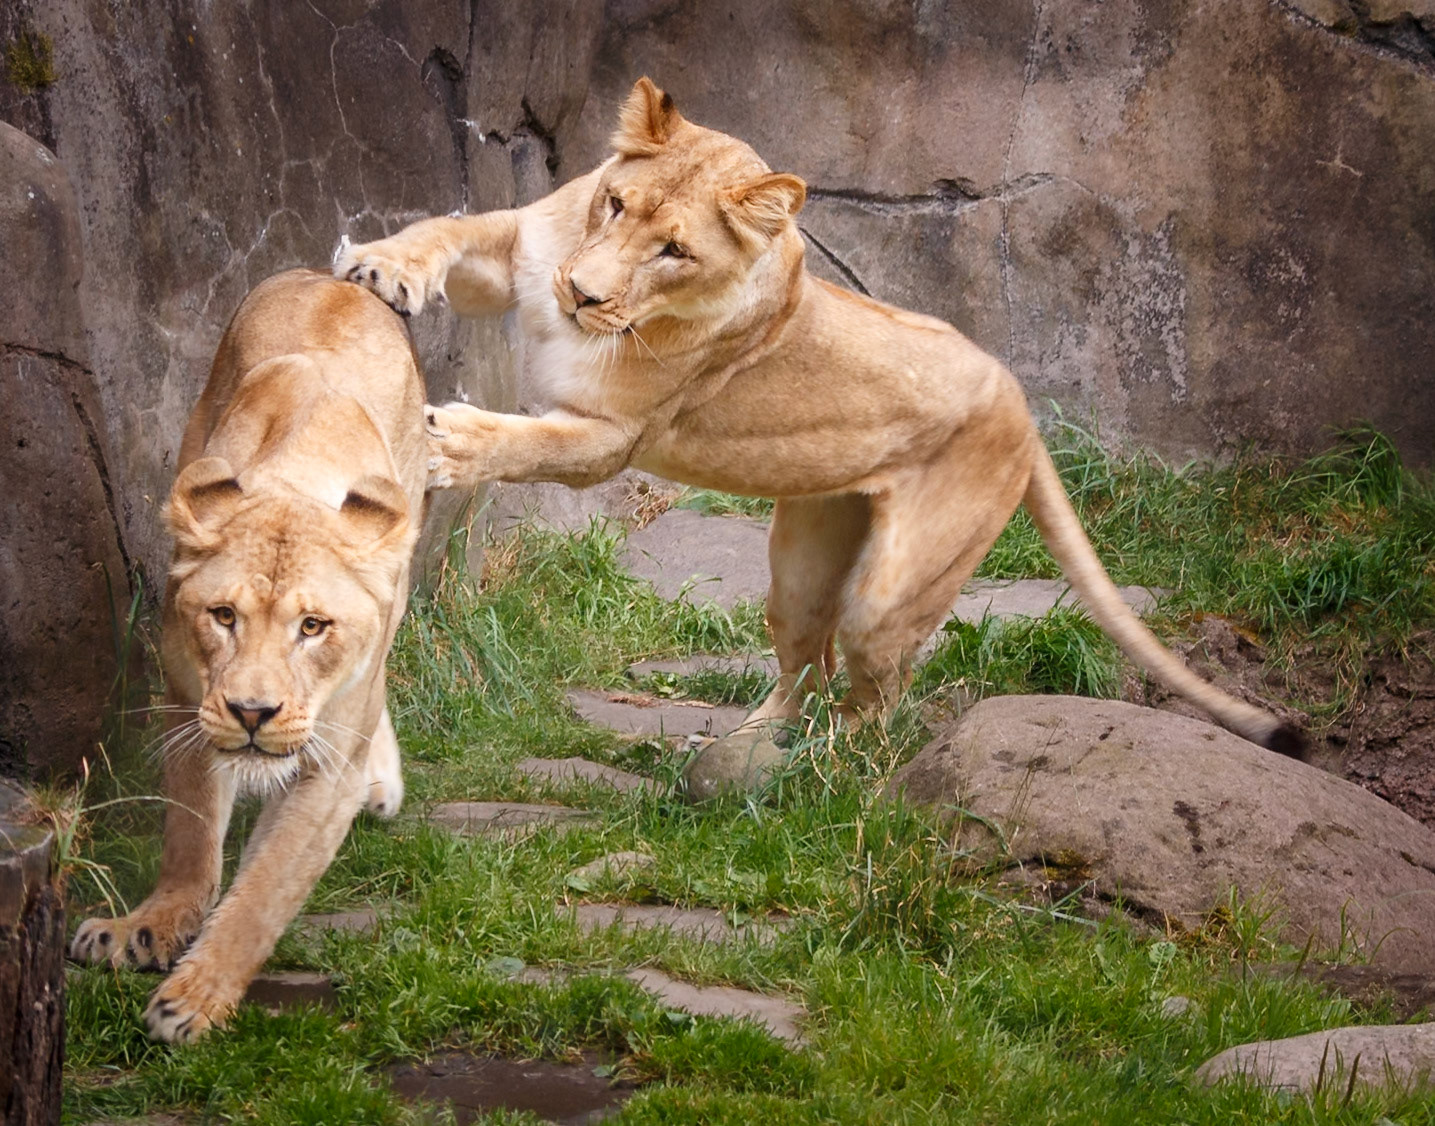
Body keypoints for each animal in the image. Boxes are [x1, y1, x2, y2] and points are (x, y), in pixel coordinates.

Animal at [70, 269, 427, 1042]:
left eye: (314, 627)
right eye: (224, 616)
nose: (254, 712)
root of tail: (332, 281)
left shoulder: (326, 765)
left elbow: (265, 892)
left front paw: (195, 998)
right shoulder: (191, 705)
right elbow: (190, 833)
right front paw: (148, 927)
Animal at [335, 77, 1300, 755]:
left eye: (674, 250)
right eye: (613, 204)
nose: (583, 294)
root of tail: (1021, 401)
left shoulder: (611, 442)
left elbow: (530, 442)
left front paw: (447, 439)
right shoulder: (518, 254)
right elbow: (444, 227)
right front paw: (379, 265)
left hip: (895, 591)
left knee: (876, 691)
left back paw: (824, 777)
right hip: (801, 563)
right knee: (808, 662)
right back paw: (748, 748)